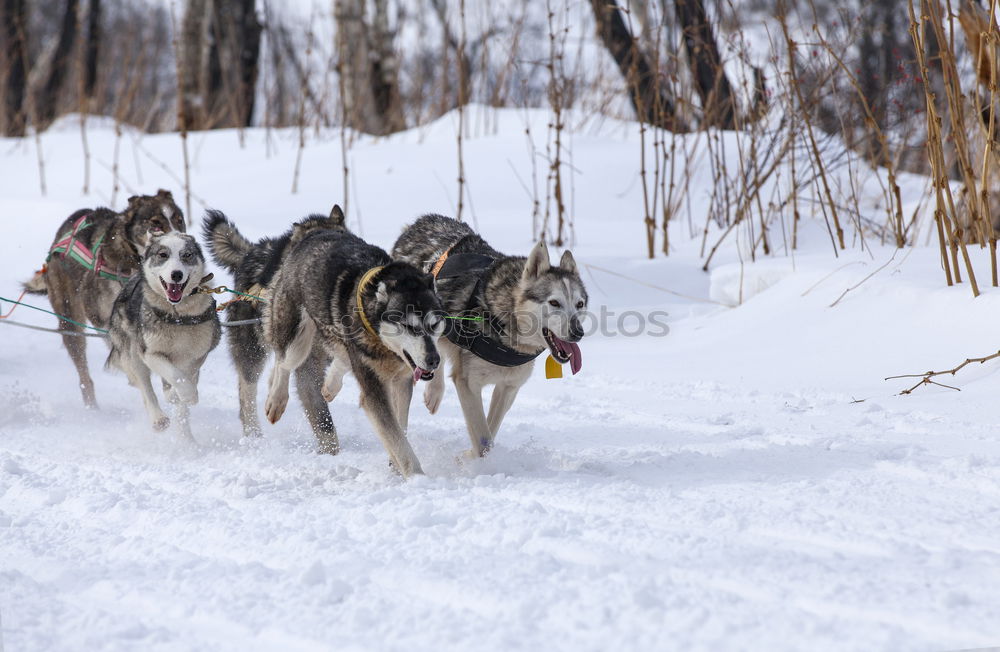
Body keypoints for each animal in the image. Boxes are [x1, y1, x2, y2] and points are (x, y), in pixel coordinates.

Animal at [23, 188, 184, 410]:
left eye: (179, 220)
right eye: (156, 223)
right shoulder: (100, 314)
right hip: (71, 322)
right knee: (84, 374)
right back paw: (92, 407)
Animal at [104, 232, 220, 440]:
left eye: (187, 255)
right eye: (163, 255)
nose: (176, 274)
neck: (178, 317)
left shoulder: (198, 354)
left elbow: (186, 377)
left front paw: (180, 395)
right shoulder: (150, 353)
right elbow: (175, 376)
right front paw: (187, 395)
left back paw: (187, 440)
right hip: (132, 353)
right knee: (145, 388)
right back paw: (158, 418)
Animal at [199, 206, 348, 450]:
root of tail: (252, 251)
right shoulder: (308, 368)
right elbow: (324, 422)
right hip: (251, 351)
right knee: (247, 394)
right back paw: (254, 436)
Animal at [264, 229, 444, 478]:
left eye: (434, 324)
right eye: (409, 327)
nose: (434, 360)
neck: (384, 345)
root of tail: (314, 233)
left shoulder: (401, 380)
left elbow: (400, 427)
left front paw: (396, 467)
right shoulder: (374, 389)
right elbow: (398, 439)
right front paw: (416, 477)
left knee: (336, 359)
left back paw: (330, 385)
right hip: (296, 338)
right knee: (283, 362)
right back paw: (276, 399)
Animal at [394, 214, 588, 458]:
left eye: (579, 304)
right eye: (554, 302)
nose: (578, 332)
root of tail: (422, 221)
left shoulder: (509, 387)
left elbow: (490, 434)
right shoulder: (468, 383)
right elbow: (482, 439)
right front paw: (467, 459)